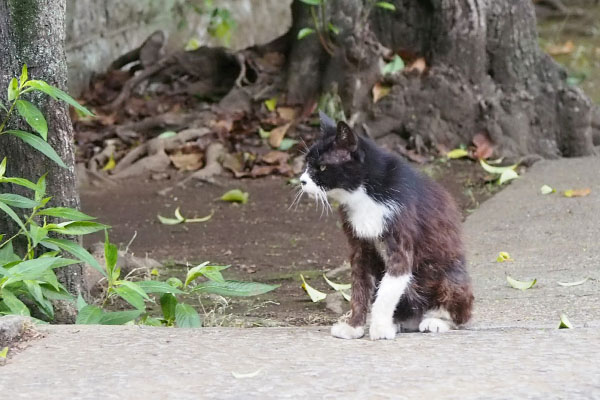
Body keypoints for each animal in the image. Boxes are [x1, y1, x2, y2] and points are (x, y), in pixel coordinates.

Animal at [300, 112, 474, 340]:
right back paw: (399, 322)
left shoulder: (400, 236)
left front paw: (380, 328)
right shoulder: (359, 245)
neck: (364, 195)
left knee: (459, 310)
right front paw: (353, 326)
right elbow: (359, 286)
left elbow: (389, 288)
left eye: (321, 167)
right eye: (306, 163)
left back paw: (435, 321)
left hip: (450, 275)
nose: (302, 180)